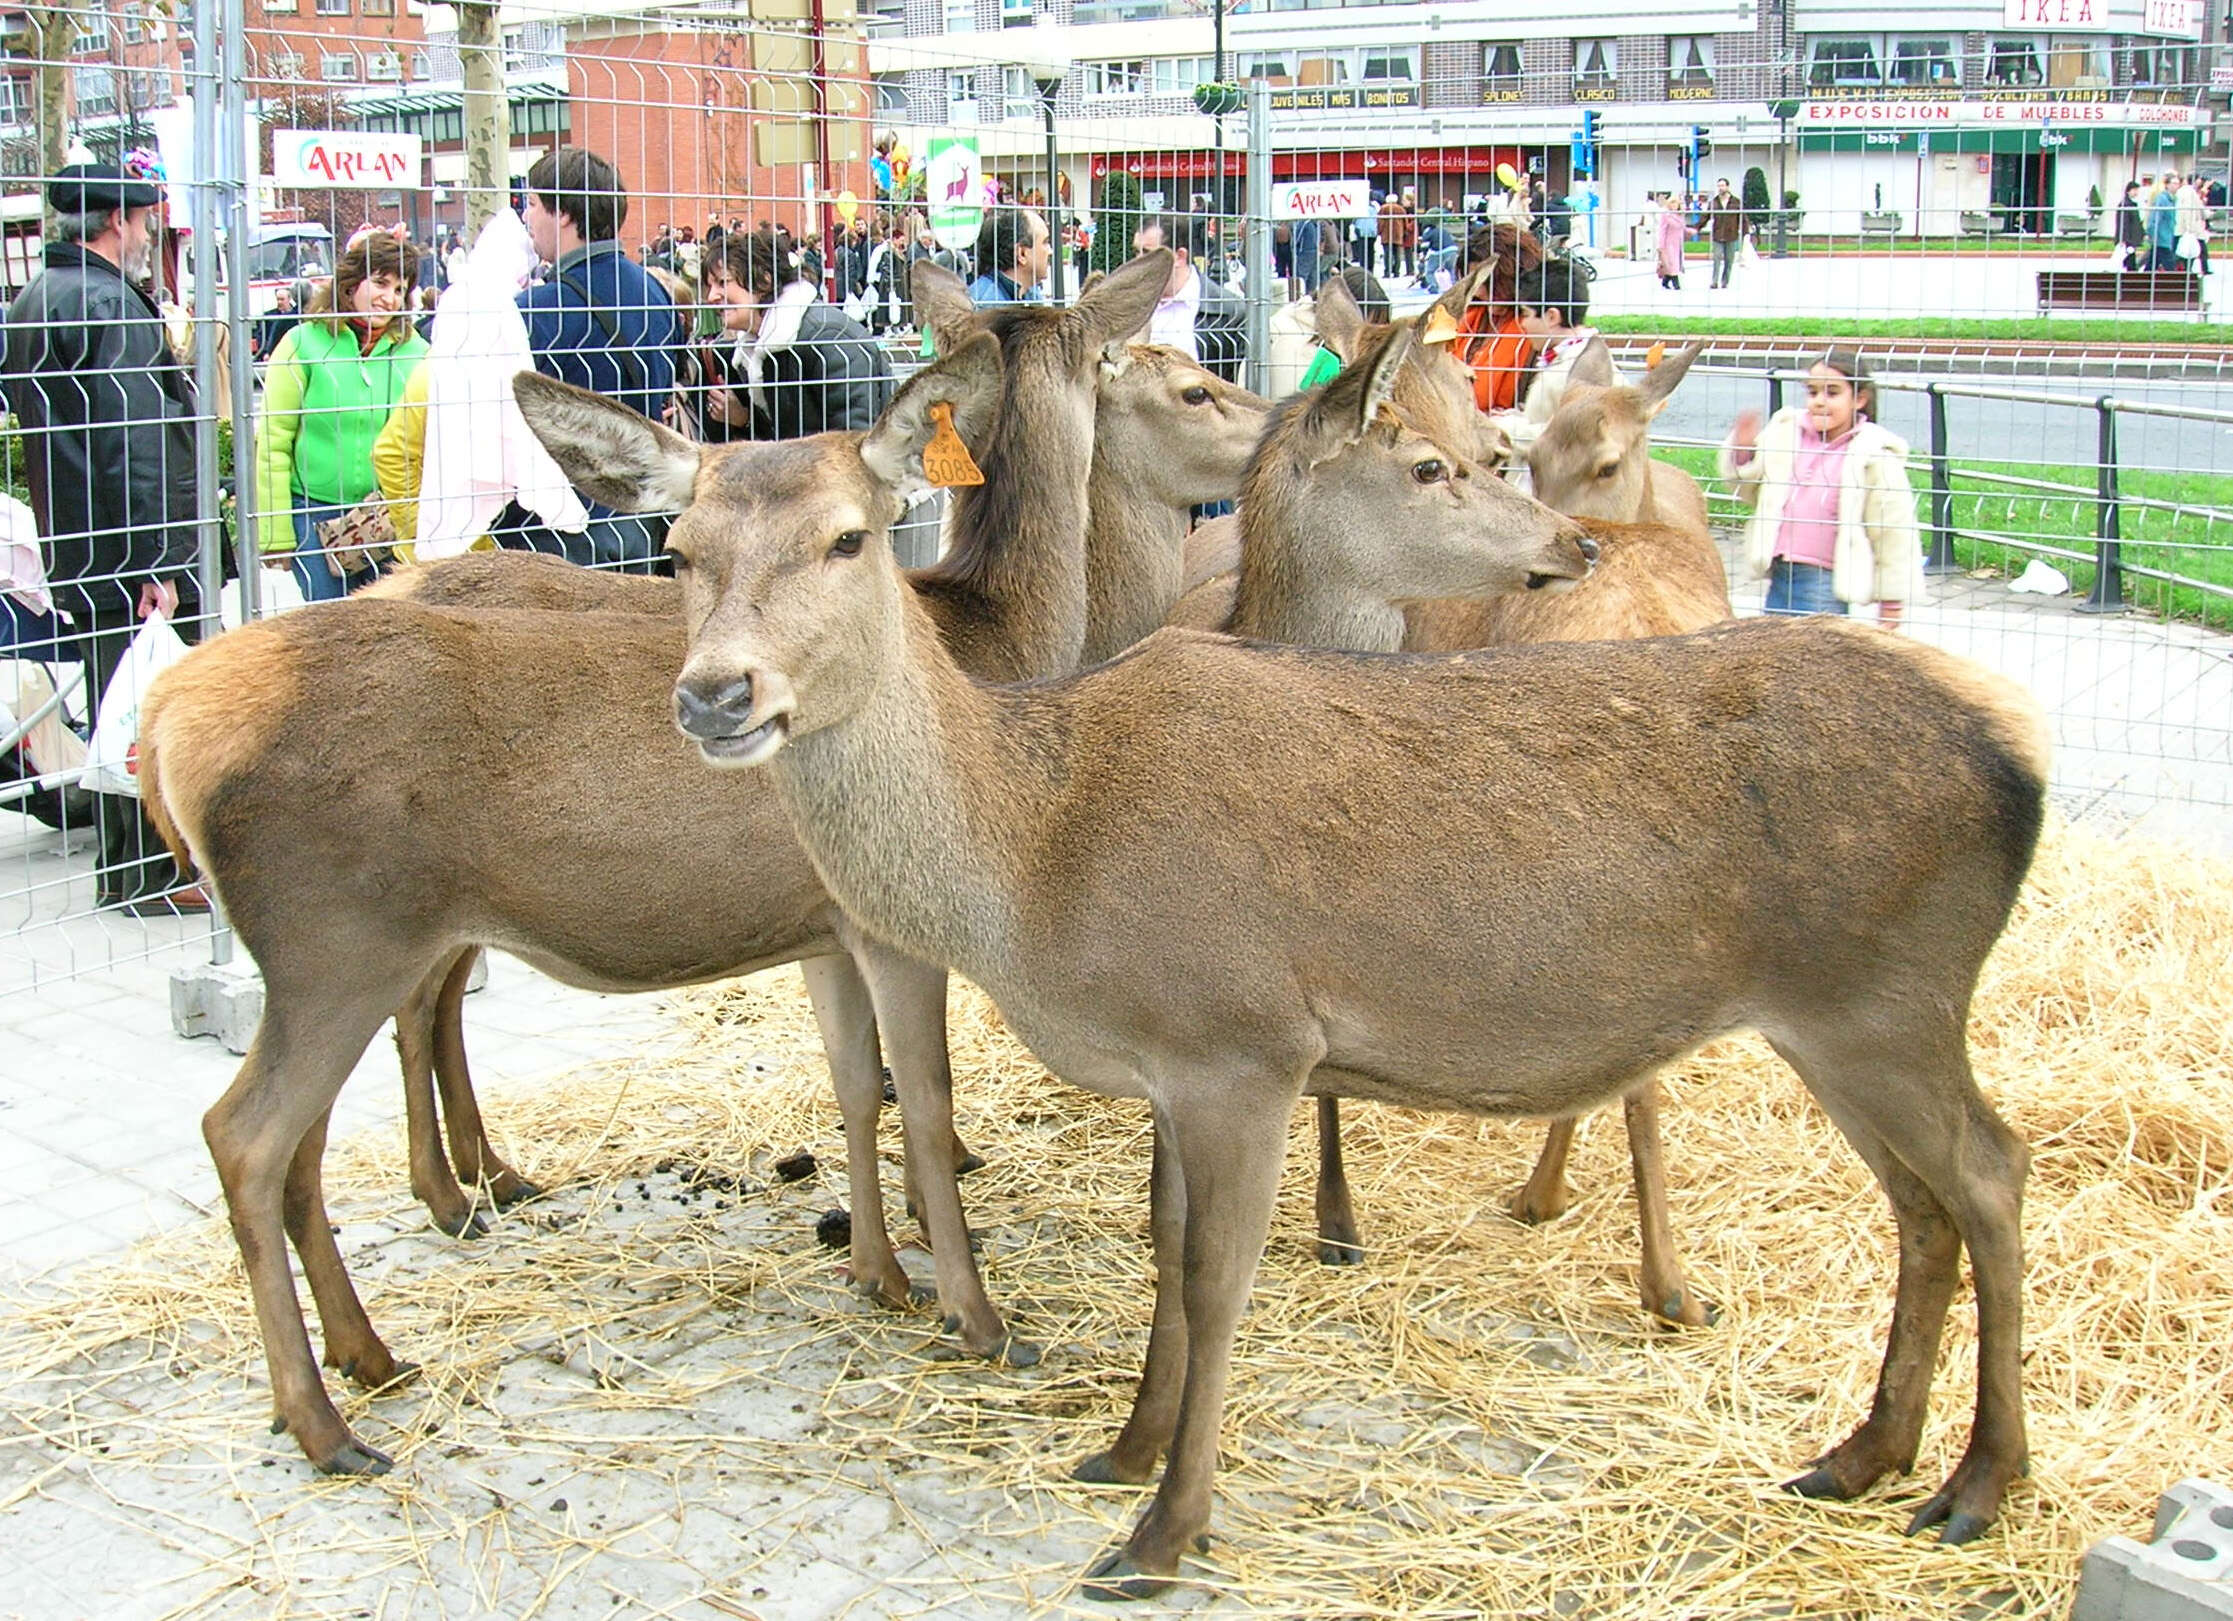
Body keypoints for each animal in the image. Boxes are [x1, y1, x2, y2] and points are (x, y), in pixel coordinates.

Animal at [366, 330, 1277, 1241]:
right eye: (1195, 389)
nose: (1282, 418)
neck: (1009, 643)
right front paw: (939, 1186)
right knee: (413, 1007)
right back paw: (450, 1193)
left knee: (438, 999)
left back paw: (490, 1170)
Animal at [531, 323, 2045, 1589]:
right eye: (677, 546)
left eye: (851, 538)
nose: (716, 693)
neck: (1036, 860)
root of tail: (2018, 756)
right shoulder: (1175, 1065)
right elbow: (1164, 1249)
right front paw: (1122, 1449)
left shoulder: (1244, 1040)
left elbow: (1216, 1280)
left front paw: (1165, 1530)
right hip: (1838, 1018)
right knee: (1921, 1206)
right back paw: (1863, 1454)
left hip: (1888, 997)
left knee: (1989, 1169)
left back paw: (1977, 1485)